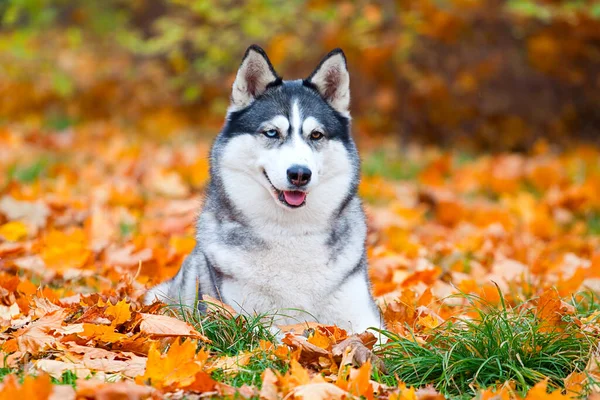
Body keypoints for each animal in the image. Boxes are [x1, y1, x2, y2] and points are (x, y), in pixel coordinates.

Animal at [143, 43, 382, 332]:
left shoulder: (364, 317)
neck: (290, 232)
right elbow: (275, 334)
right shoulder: (239, 317)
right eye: (271, 133)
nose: (299, 174)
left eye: (316, 135)